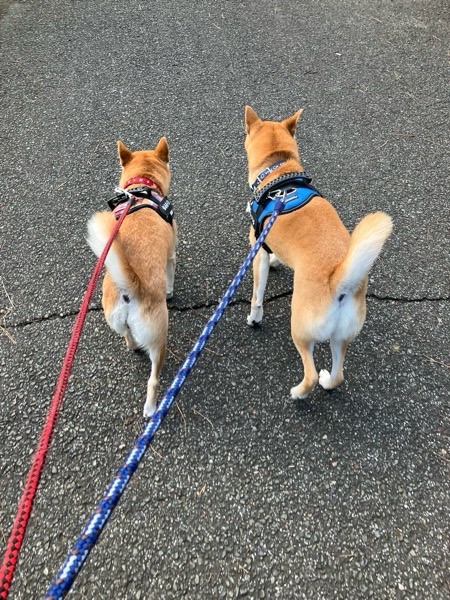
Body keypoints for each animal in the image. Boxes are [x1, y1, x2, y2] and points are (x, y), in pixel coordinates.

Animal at [87, 137, 177, 417]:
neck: (141, 190)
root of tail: (131, 288)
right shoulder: (172, 255)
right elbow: (171, 275)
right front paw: (171, 291)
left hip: (116, 318)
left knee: (127, 337)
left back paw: (133, 345)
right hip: (159, 335)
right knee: (153, 379)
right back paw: (151, 408)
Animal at [244, 106, 392, 399]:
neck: (279, 170)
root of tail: (339, 282)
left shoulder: (258, 250)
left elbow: (257, 295)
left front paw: (254, 318)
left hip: (300, 329)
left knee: (310, 373)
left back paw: (298, 392)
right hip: (341, 336)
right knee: (339, 374)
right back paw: (327, 381)